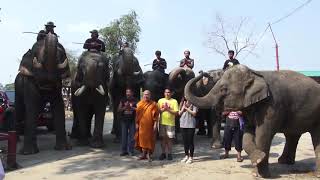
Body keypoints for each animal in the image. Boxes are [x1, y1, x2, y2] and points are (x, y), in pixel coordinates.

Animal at [184, 64, 320, 177]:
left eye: (224, 89)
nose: (204, 73)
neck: (256, 73)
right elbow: (247, 134)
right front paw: (258, 161)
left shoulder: (272, 106)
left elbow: (263, 135)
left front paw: (262, 174)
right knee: (292, 135)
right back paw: (284, 162)